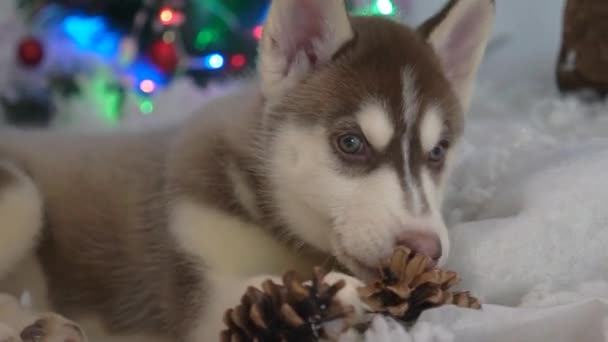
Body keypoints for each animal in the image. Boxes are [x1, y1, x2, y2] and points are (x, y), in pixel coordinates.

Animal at [0, 0, 494, 340]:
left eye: (438, 151)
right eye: (351, 143)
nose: (425, 250)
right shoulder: (194, 298)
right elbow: (243, 293)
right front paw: (328, 294)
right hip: (21, 197)